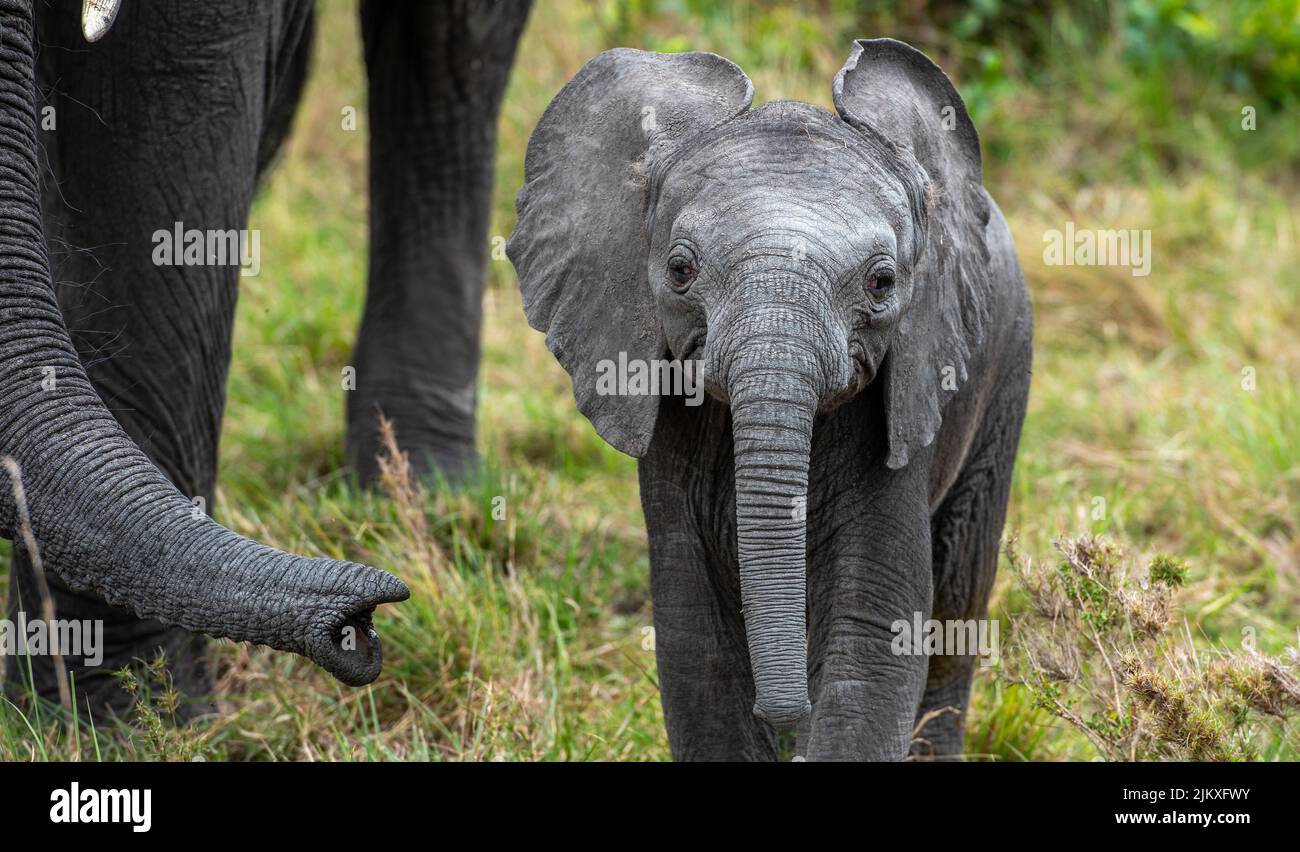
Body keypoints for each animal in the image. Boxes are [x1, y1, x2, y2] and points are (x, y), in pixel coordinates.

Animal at [0, 0, 530, 718]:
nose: (361, 626)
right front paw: (111, 715)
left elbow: (162, 90)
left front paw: (128, 717)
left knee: (449, 48)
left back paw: (426, 489)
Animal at [508, 40, 1033, 760]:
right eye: (680, 270)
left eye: (882, 282)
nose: (786, 714)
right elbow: (695, 642)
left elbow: (871, 632)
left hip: (1008, 364)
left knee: (960, 595)